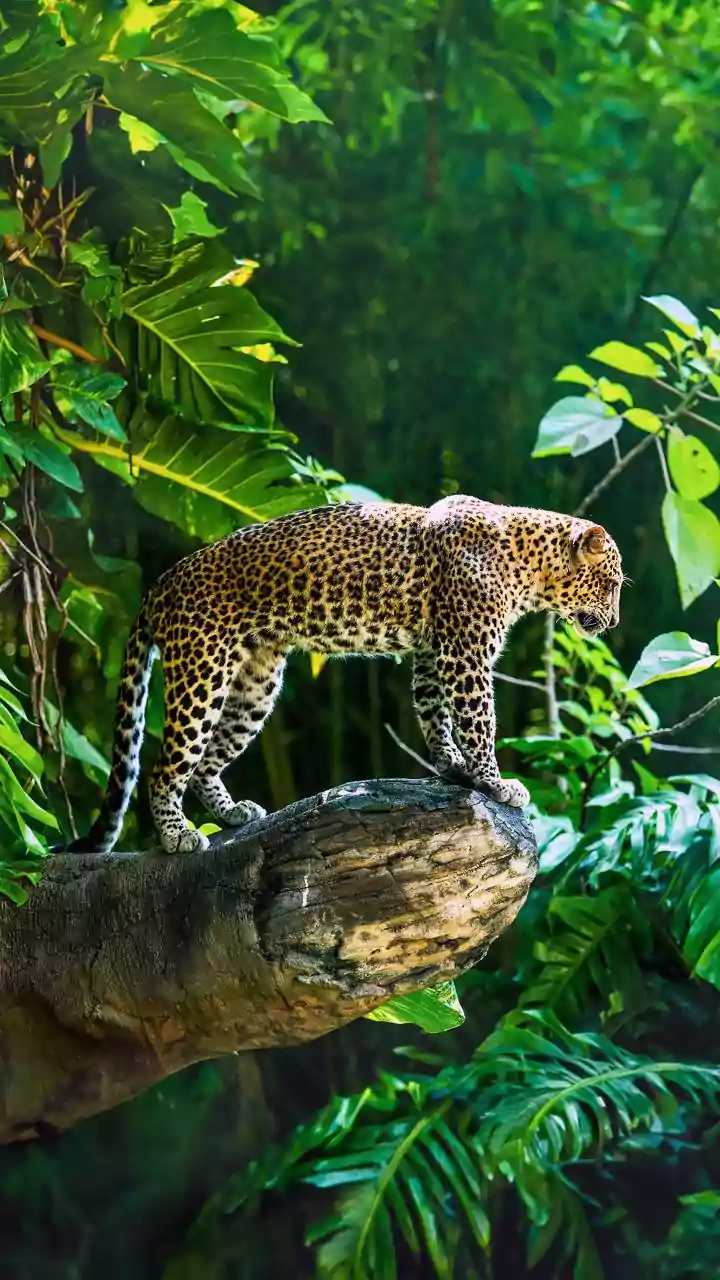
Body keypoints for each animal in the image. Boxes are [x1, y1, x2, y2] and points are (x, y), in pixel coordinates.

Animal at [71, 496, 622, 856]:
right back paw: (175, 835)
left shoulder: (433, 652)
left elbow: (435, 714)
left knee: (207, 760)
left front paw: (453, 768)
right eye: (612, 584)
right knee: (166, 766)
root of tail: (161, 582)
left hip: (256, 682)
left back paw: (231, 814)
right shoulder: (465, 655)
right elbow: (477, 720)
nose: (615, 621)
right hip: (201, 671)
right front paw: (495, 781)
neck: (529, 564)